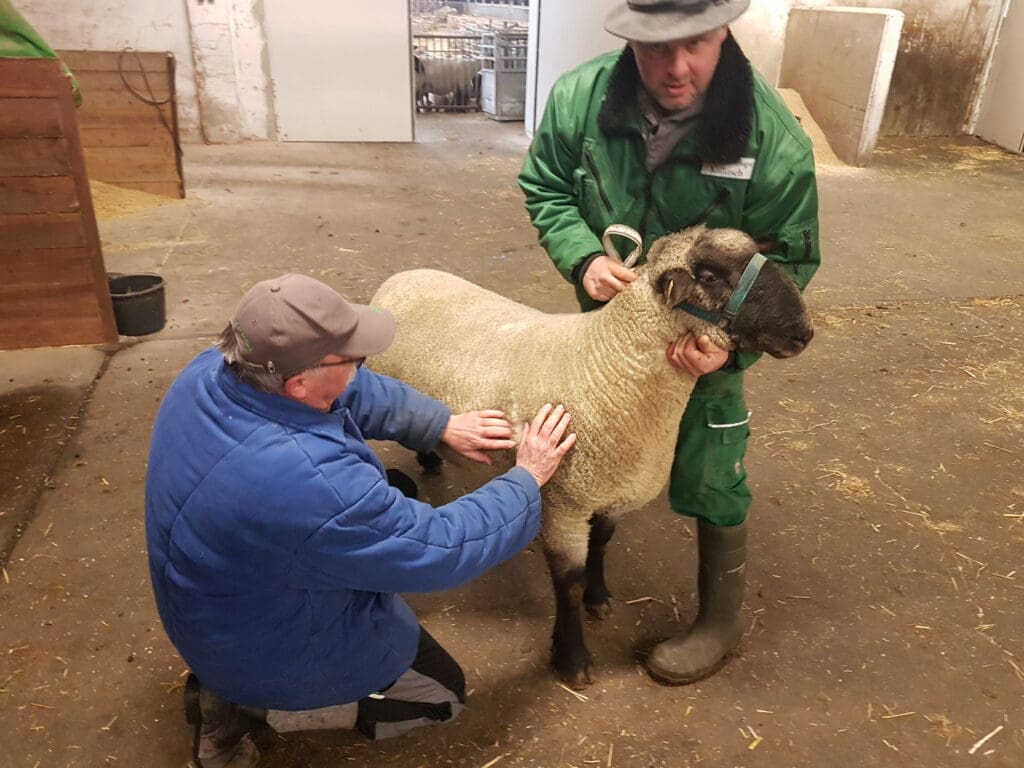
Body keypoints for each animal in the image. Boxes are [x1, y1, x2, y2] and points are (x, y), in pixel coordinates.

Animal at [368, 225, 815, 688]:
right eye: (709, 276)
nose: (803, 332)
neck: (606, 363)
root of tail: (403, 276)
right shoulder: (563, 503)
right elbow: (568, 581)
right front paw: (572, 657)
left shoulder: (607, 489)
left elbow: (601, 543)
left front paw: (599, 599)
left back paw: (432, 456)